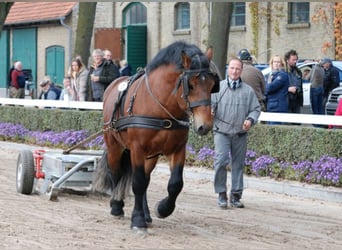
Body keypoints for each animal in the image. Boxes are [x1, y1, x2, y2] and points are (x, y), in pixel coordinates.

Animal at [93, 41, 219, 232]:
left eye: (212, 85)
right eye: (190, 85)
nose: (205, 125)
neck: (162, 108)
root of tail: (113, 85)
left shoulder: (177, 149)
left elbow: (175, 184)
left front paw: (163, 208)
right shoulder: (137, 148)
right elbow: (137, 182)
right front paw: (137, 220)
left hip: (151, 155)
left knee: (146, 180)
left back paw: (145, 214)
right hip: (115, 145)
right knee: (116, 172)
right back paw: (117, 205)